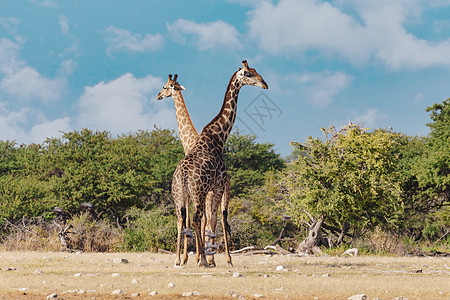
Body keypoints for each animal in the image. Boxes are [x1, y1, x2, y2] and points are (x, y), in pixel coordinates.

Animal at [171, 59, 268, 266]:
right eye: (249, 74)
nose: (265, 84)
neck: (219, 137)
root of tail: (182, 174)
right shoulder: (219, 184)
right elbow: (213, 220)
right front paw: (212, 259)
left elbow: (210, 220)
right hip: (198, 193)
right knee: (198, 219)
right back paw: (203, 260)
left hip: (179, 195)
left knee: (182, 219)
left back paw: (179, 260)